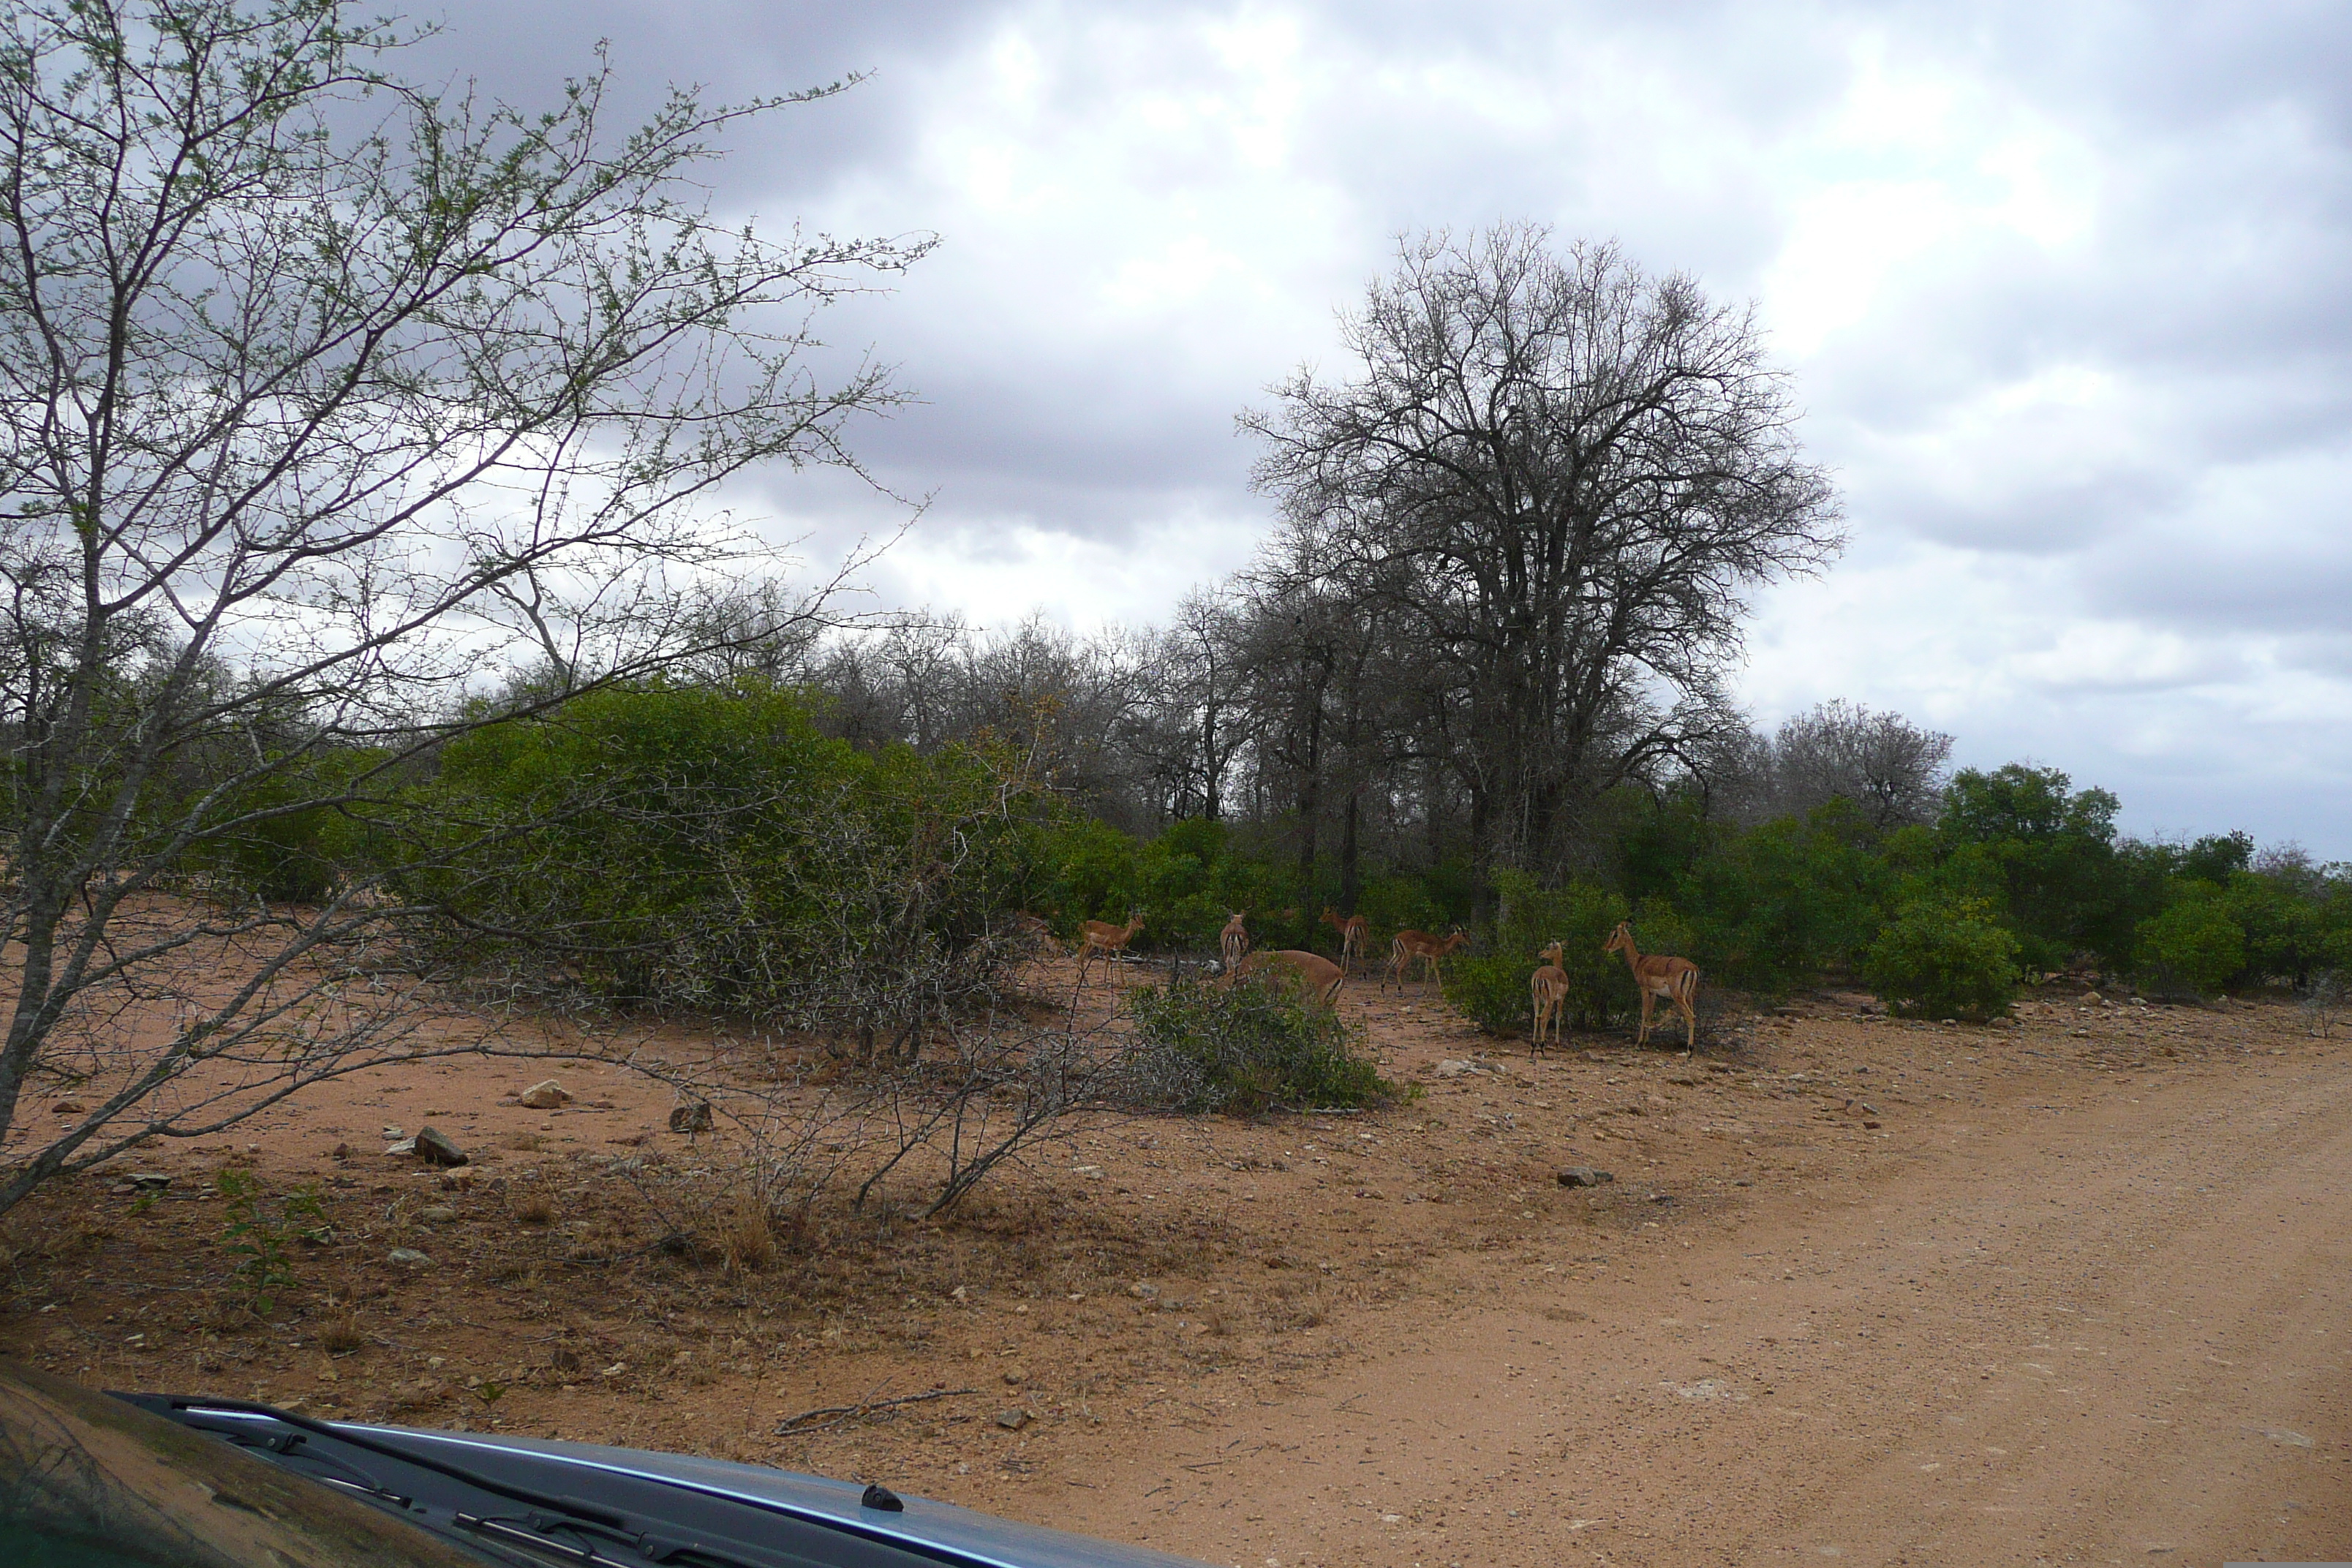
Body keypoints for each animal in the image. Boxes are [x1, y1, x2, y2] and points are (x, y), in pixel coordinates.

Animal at [1373, 930, 1467, 992]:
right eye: (1464, 934)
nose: (1469, 942)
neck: (1443, 944)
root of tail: (1396, 937)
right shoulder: (1434, 958)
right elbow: (1437, 972)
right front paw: (1441, 990)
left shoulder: (1428, 958)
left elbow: (1427, 972)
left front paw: (1424, 990)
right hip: (1407, 955)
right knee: (1398, 967)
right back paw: (1401, 989)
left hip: (1397, 954)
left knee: (1389, 965)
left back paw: (1383, 987)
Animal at [1533, 945, 1571, 1053]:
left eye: (1548, 947)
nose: (1540, 954)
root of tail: (1540, 975)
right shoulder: (1560, 999)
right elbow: (1557, 1017)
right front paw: (1557, 1045)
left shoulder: (1551, 1001)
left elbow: (1549, 1017)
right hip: (1548, 1000)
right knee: (1542, 1017)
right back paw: (1542, 1047)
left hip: (1536, 998)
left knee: (1537, 1018)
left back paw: (1534, 1045)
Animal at [1608, 926, 1703, 1048]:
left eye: (1615, 935)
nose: (1606, 948)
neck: (1639, 961)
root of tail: (1693, 968)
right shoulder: (1653, 993)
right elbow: (1650, 1013)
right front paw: (1645, 1042)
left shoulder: (1643, 988)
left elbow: (1644, 1013)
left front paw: (1639, 1043)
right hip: (1690, 996)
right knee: (1693, 1016)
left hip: (1679, 997)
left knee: (1690, 1017)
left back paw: (1689, 1051)